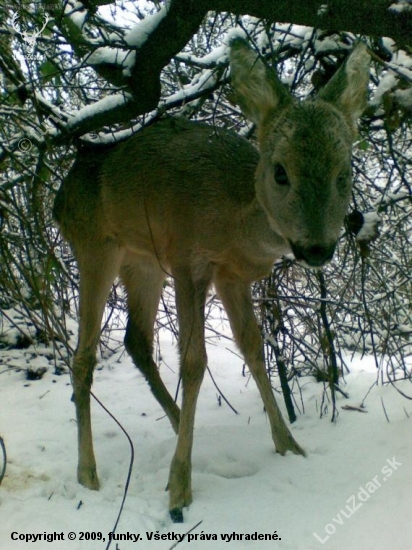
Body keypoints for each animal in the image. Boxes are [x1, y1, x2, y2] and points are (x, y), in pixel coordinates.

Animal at [52, 37, 370, 520]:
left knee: (136, 339)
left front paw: (289, 444)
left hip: (142, 262)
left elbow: (254, 348)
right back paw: (87, 472)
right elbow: (194, 362)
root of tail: (58, 198)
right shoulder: (190, 262)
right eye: (280, 171)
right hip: (95, 246)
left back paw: (177, 421)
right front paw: (179, 490)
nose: (317, 248)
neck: (233, 218)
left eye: (344, 172)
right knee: (83, 356)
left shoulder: (231, 276)